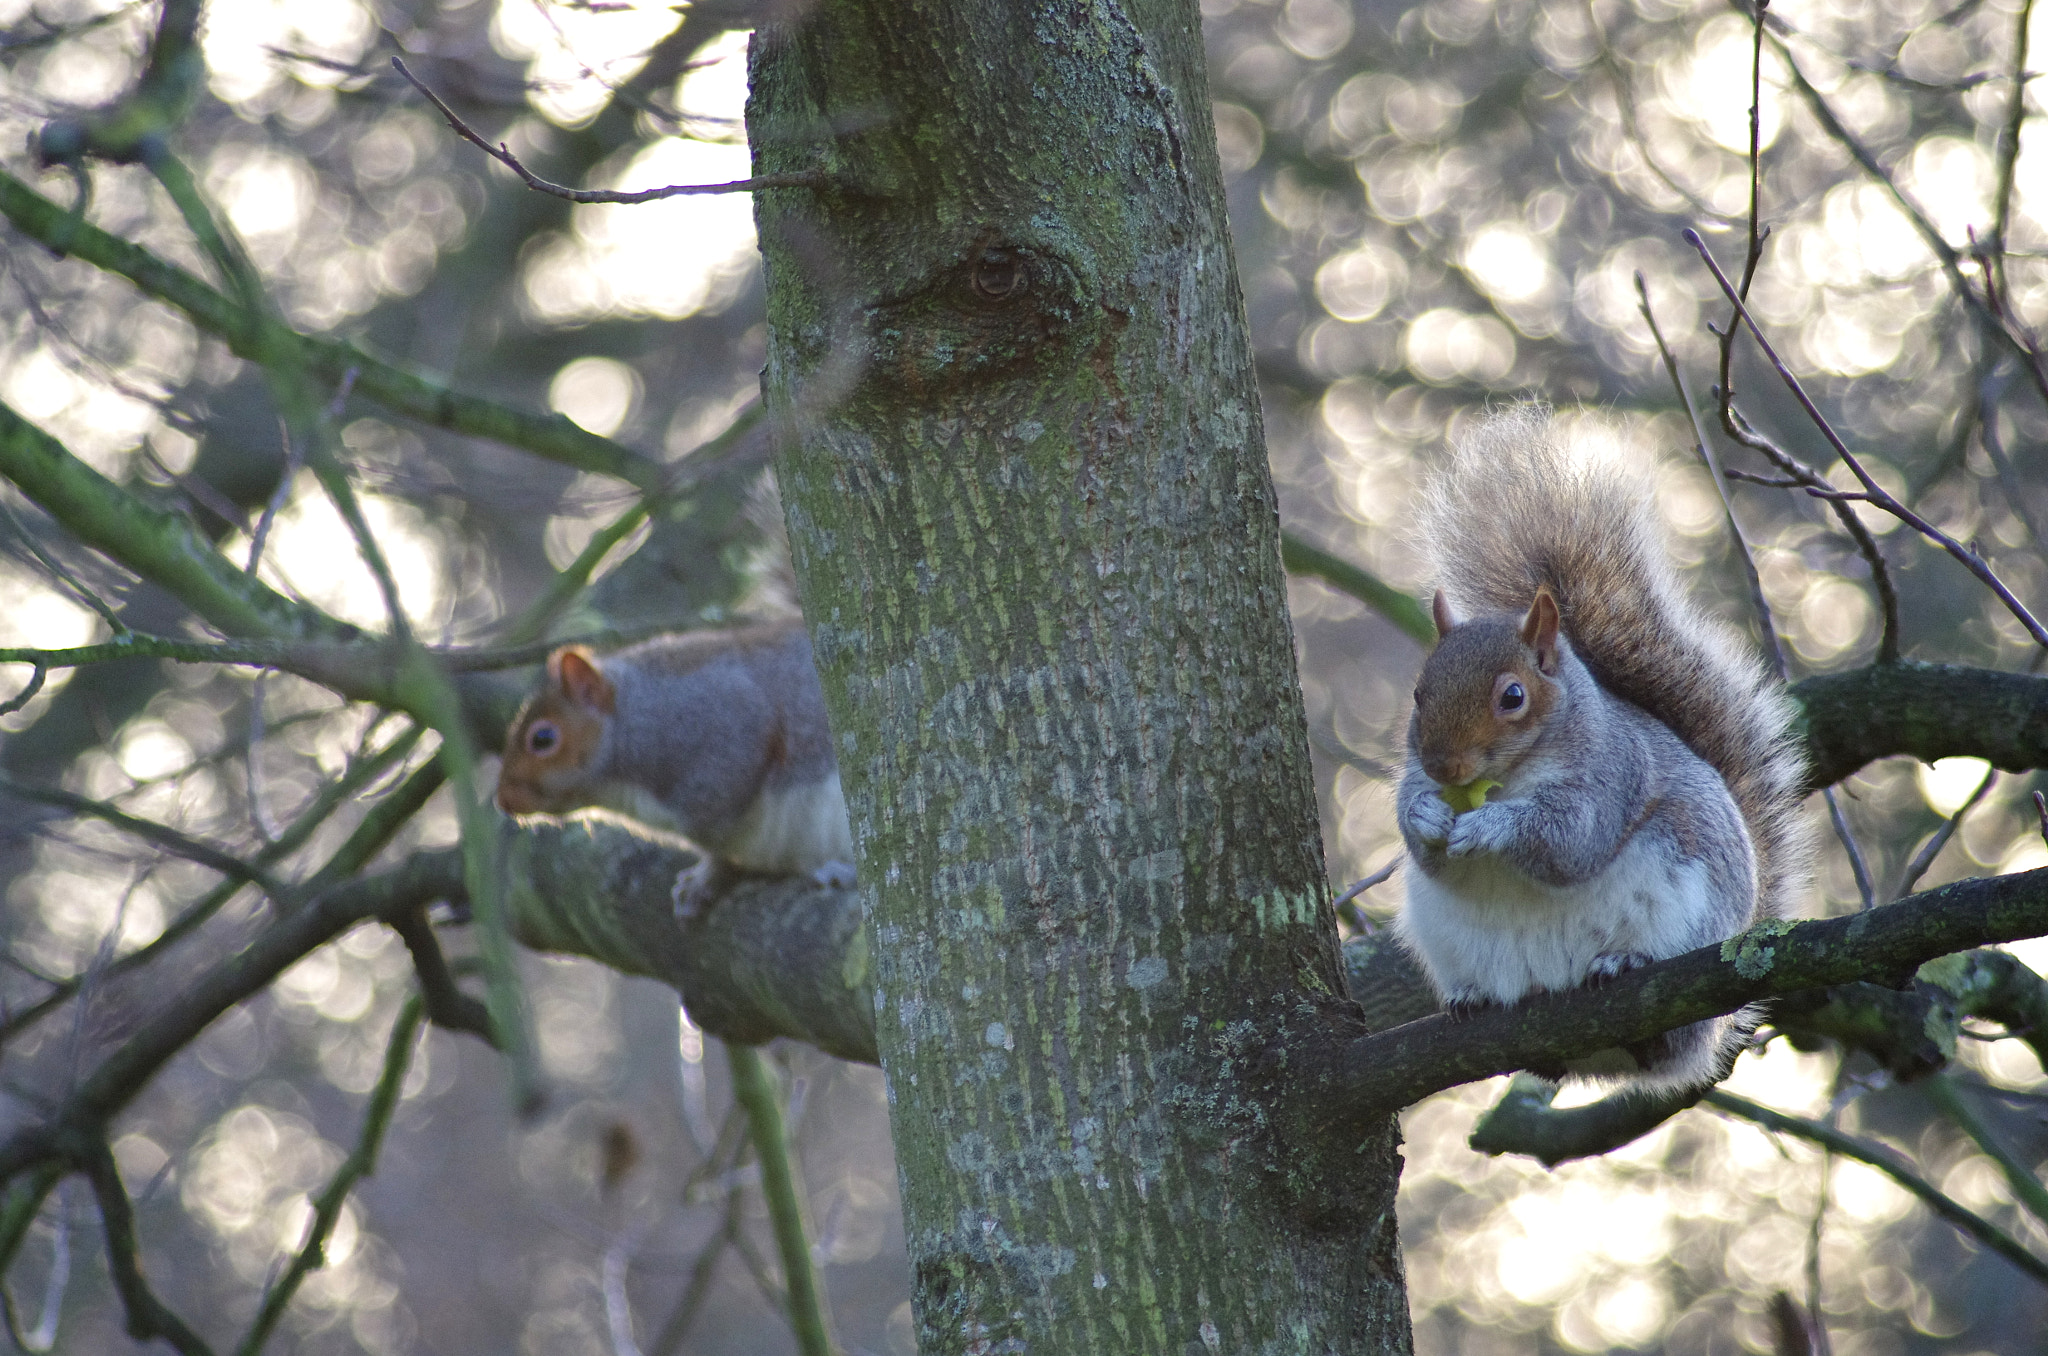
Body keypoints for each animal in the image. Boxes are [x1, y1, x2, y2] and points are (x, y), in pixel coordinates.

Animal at [495, 622, 856, 917]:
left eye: (543, 738)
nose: (503, 801)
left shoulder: (723, 730)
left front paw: (708, 874)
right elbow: (720, 849)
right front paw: (705, 876)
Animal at [1392, 405, 1810, 1097]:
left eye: (1512, 697)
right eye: (1419, 694)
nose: (1443, 768)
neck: (1515, 772)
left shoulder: (1612, 775)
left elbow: (1572, 840)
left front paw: (1492, 826)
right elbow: (1429, 855)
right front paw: (1425, 815)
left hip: (1687, 915)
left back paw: (1624, 964)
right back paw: (1475, 998)